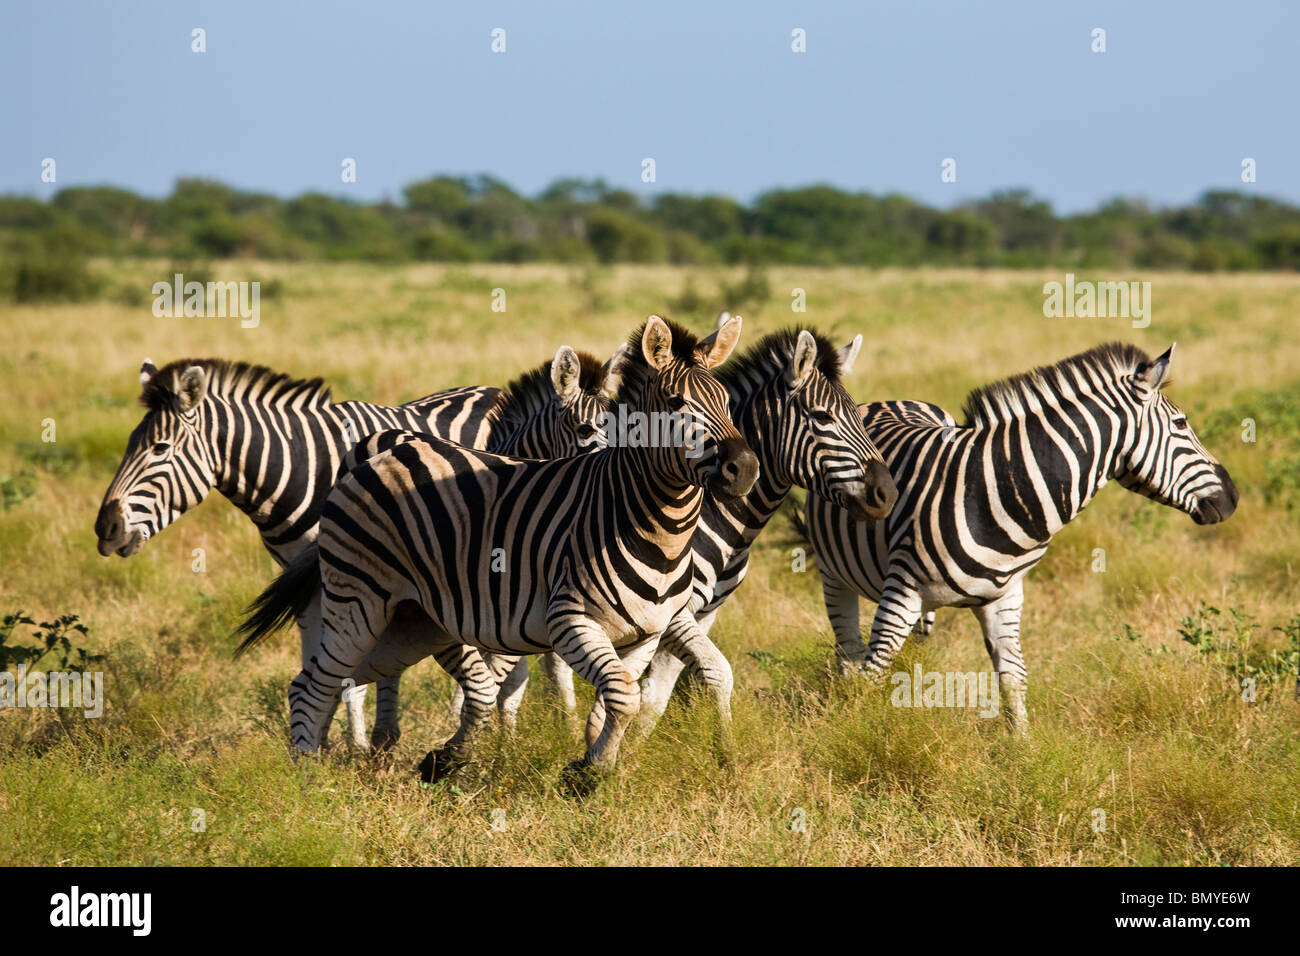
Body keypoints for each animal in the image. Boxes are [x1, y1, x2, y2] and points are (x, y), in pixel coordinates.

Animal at [94, 348, 621, 749]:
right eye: (130, 443)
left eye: (159, 449)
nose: (105, 529)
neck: (300, 468)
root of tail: (489, 389)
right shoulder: (314, 580)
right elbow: (324, 660)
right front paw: (341, 739)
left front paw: (358, 744)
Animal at [237, 314, 759, 790]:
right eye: (676, 403)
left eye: (727, 401)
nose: (746, 468)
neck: (652, 526)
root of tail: (374, 456)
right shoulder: (566, 621)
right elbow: (616, 695)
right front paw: (588, 773)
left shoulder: (646, 633)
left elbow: (618, 698)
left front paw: (597, 764)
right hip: (359, 601)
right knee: (318, 683)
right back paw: (308, 780)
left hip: (411, 624)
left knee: (325, 680)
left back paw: (333, 757)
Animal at [800, 343, 1237, 733]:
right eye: (1181, 424)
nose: (1233, 497)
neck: (1001, 488)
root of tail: (891, 400)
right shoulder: (902, 592)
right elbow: (872, 672)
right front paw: (858, 737)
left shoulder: (1005, 597)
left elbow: (1013, 677)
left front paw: (1024, 753)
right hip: (834, 574)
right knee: (849, 651)